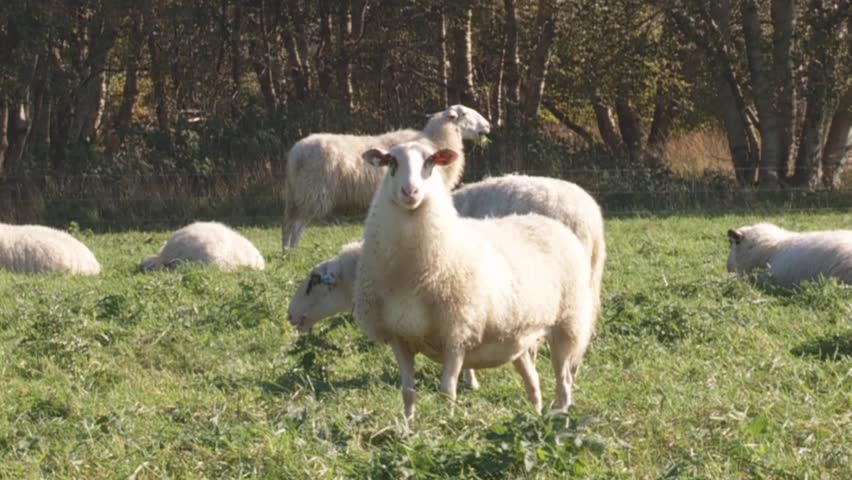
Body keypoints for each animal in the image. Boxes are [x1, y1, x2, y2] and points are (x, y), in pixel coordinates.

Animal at [281, 104, 491, 251]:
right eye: (465, 114)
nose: (488, 125)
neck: (435, 141)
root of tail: (295, 153)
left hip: (295, 195)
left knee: (287, 225)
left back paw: (285, 254)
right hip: (312, 193)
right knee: (296, 226)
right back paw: (293, 252)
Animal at [354, 142, 596, 421]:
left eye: (430, 162)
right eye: (391, 162)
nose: (410, 191)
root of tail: (551, 223)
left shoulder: (457, 334)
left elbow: (447, 391)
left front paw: (446, 424)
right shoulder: (400, 338)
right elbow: (407, 392)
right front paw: (408, 425)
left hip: (568, 323)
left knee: (564, 379)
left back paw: (559, 414)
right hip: (519, 337)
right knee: (533, 380)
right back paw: (535, 415)